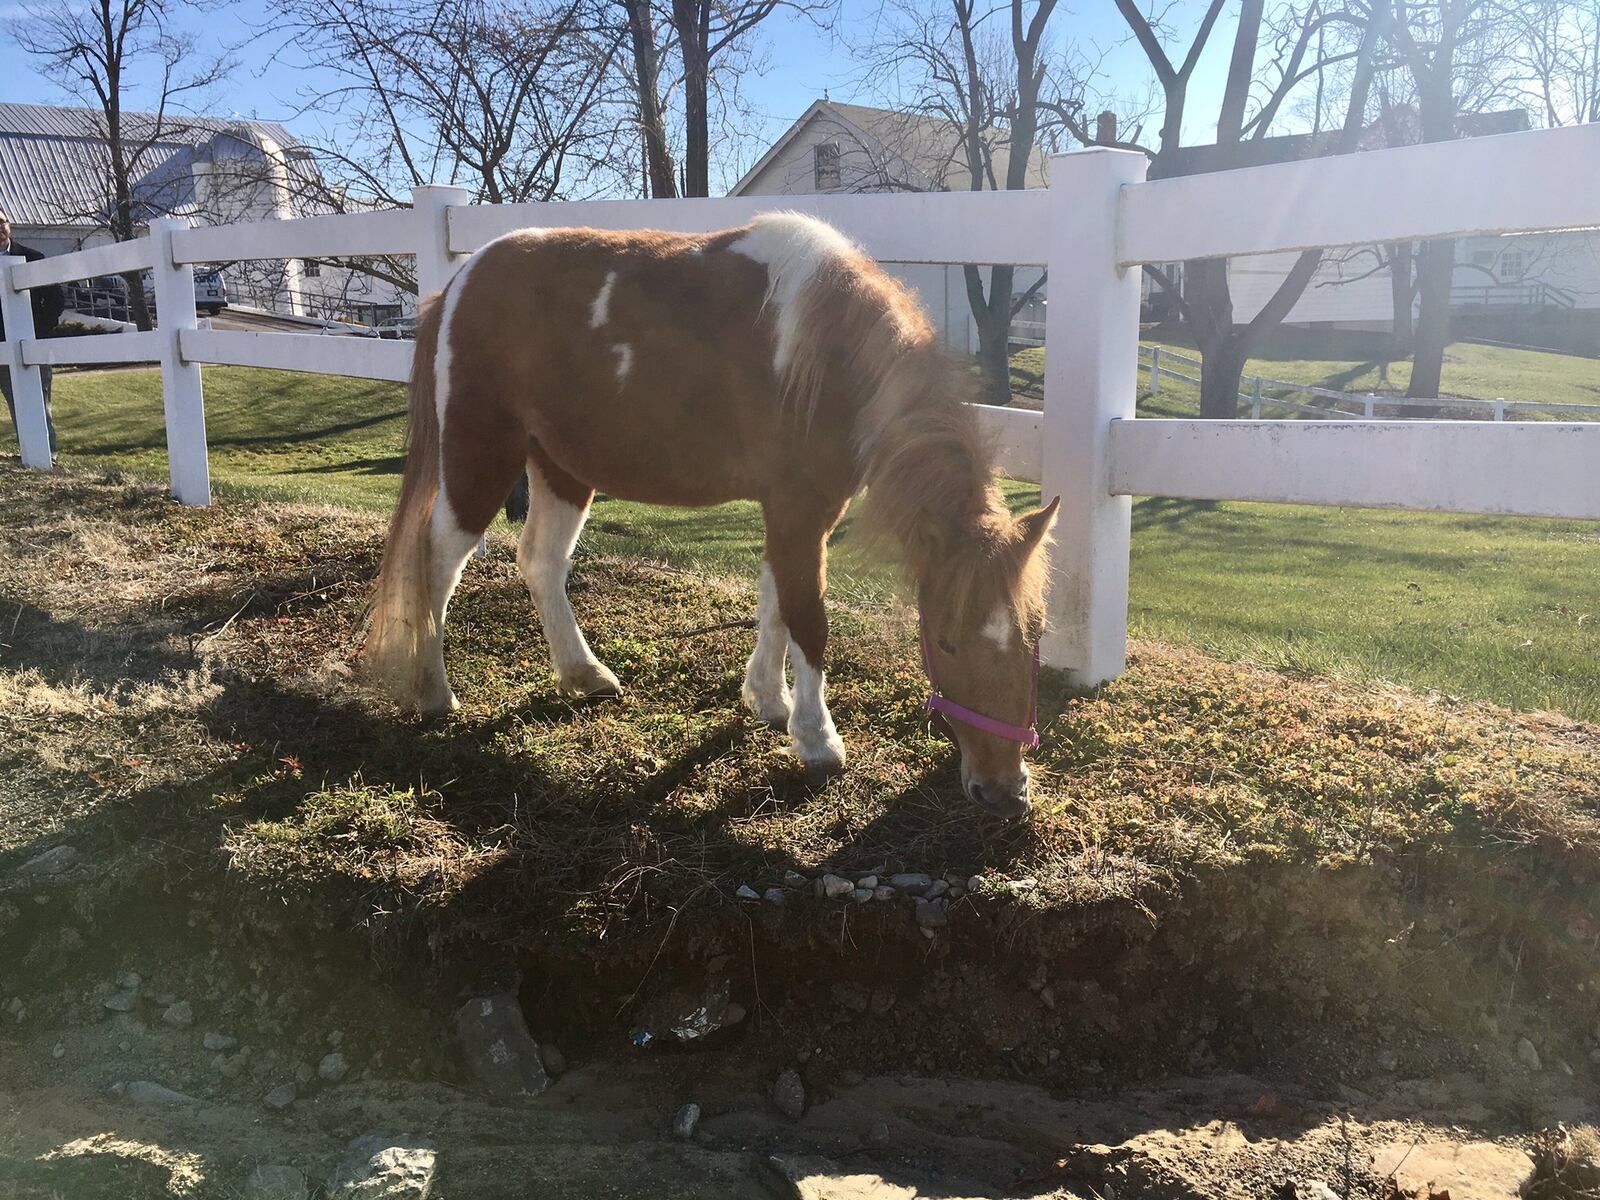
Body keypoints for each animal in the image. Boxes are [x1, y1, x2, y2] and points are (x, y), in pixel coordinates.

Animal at [366, 211, 1056, 825]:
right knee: (436, 565)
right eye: (945, 640)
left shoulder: (796, 513)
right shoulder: (799, 508)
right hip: (480, 459)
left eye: (1034, 638)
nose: (1004, 793)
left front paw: (769, 701)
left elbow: (776, 603)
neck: (827, 356)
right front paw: (818, 740)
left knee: (540, 562)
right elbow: (808, 618)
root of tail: (457, 284)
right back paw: (433, 692)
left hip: (561, 468)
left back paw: (583, 673)